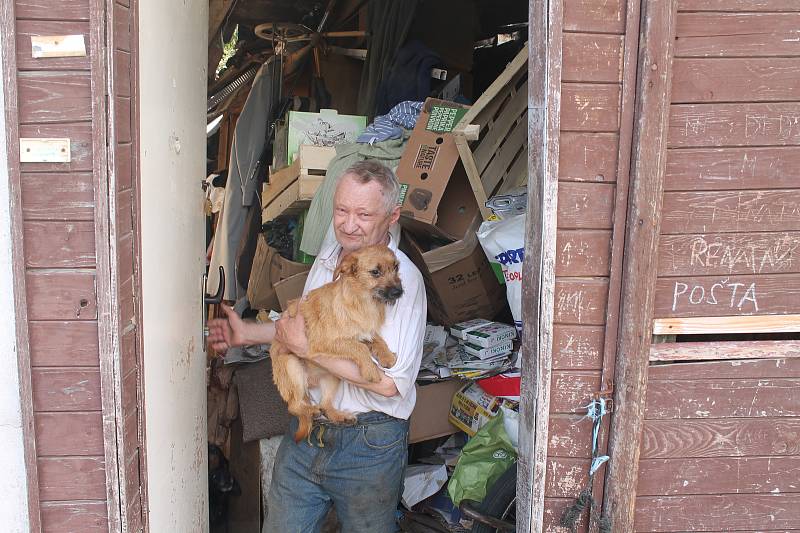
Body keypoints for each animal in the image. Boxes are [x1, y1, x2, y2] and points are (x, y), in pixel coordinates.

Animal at [270, 244, 406, 440]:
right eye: (375, 272)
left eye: (396, 267)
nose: (399, 292)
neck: (363, 302)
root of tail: (311, 380)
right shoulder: (323, 341)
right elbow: (358, 347)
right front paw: (371, 370)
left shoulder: (364, 332)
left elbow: (375, 338)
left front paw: (387, 356)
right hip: (292, 365)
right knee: (294, 407)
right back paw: (311, 411)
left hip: (333, 376)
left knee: (325, 404)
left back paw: (340, 417)